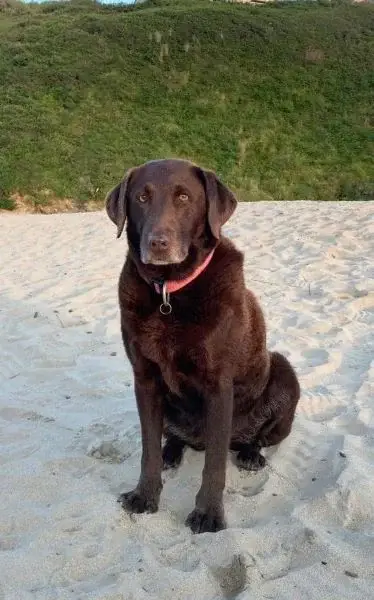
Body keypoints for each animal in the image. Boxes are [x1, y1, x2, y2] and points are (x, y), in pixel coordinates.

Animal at [106, 158, 300, 536]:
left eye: (184, 197)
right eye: (141, 197)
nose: (158, 243)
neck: (169, 293)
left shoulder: (218, 386)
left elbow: (214, 465)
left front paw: (209, 513)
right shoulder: (144, 380)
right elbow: (148, 450)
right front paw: (145, 496)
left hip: (282, 372)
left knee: (250, 439)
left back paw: (250, 453)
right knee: (171, 437)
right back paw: (172, 450)